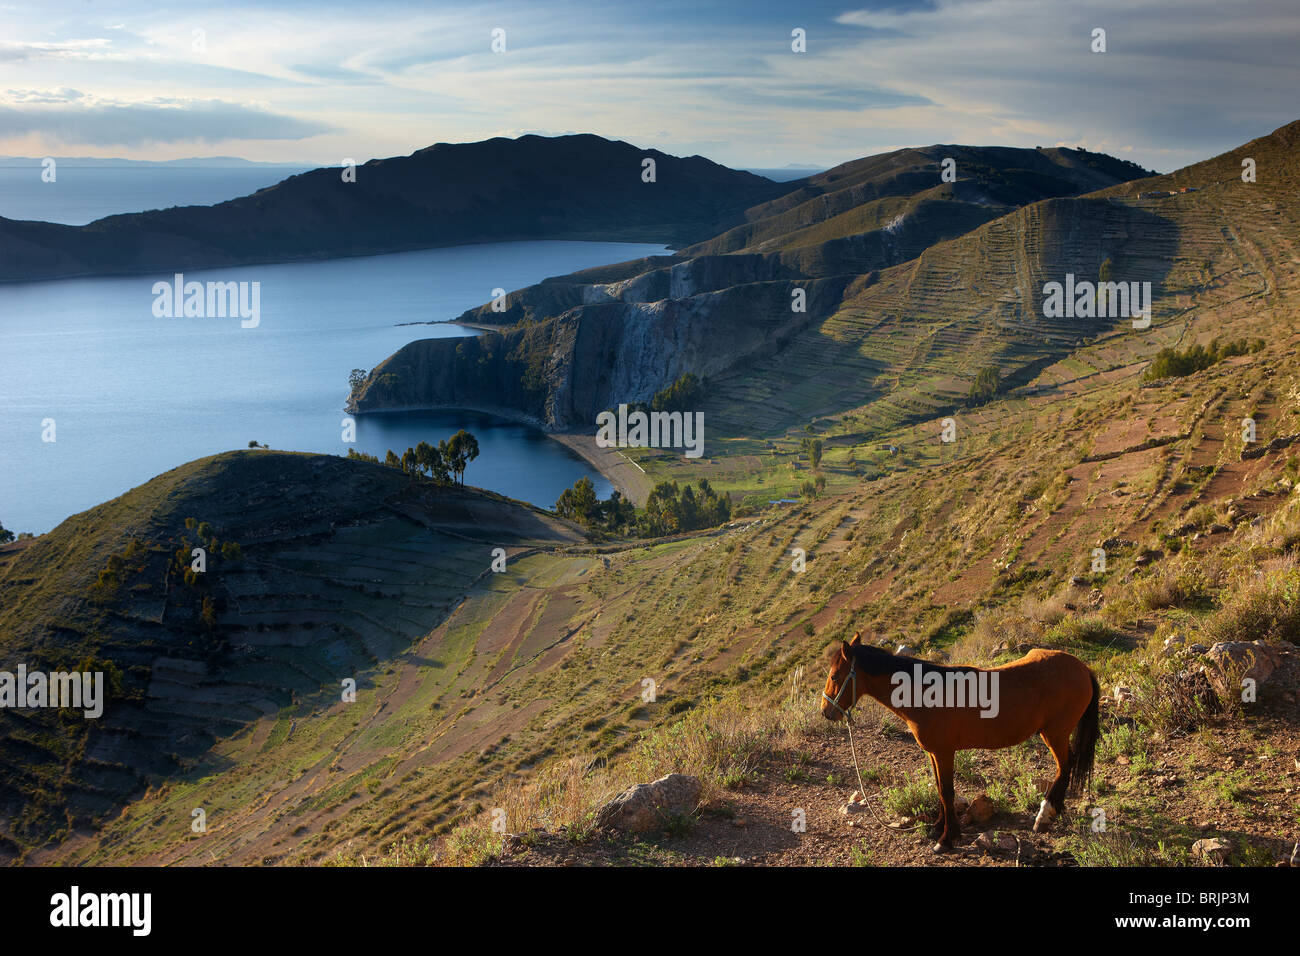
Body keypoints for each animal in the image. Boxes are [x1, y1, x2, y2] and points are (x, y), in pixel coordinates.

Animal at [821, 634, 1097, 853]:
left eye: (835, 676)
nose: (826, 711)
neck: (925, 694)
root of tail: (1082, 667)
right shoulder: (934, 753)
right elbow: (940, 789)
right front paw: (938, 827)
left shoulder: (944, 752)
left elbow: (947, 791)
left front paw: (946, 839)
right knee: (1067, 766)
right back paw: (1054, 811)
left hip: (1054, 734)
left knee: (1064, 766)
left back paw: (1044, 815)